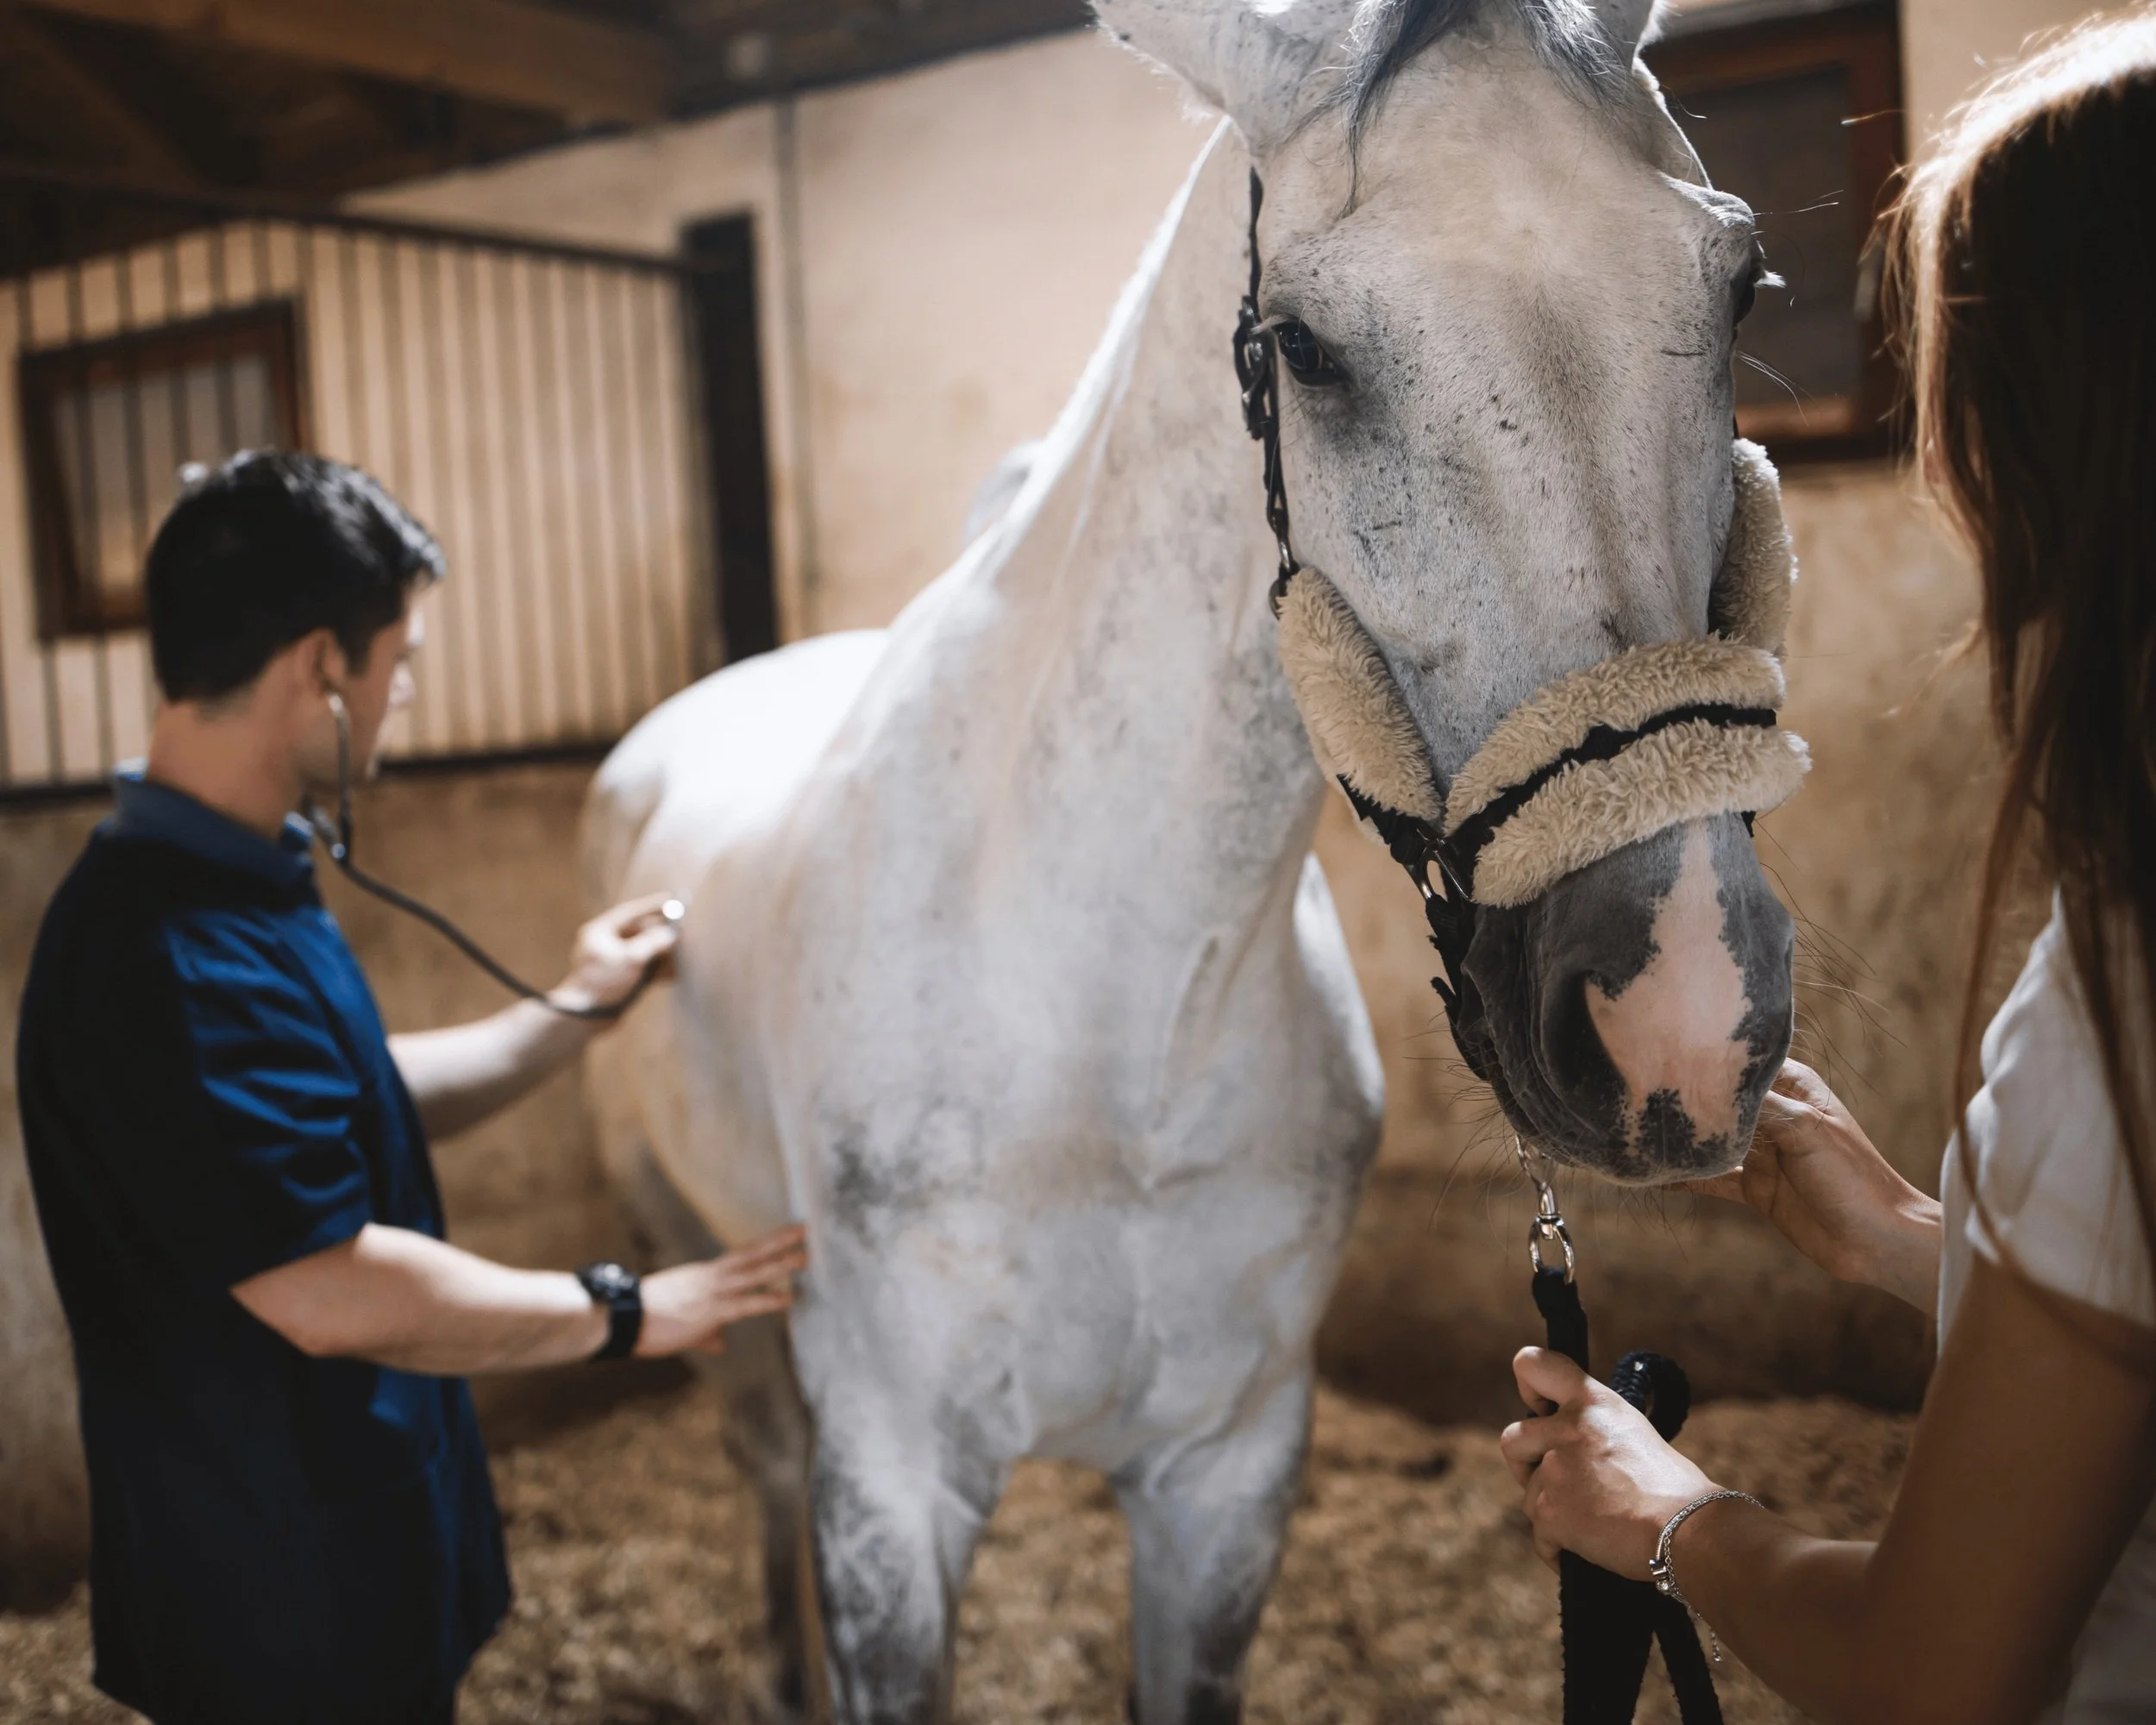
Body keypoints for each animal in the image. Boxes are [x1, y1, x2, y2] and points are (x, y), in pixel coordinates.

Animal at [580, 1, 1797, 1717]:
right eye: (1304, 346)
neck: (1115, 1003)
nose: (1678, 1014)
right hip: (708, 1271)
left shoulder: (1226, 1477)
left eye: (1739, 283)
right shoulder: (896, 1487)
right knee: (762, 1457)